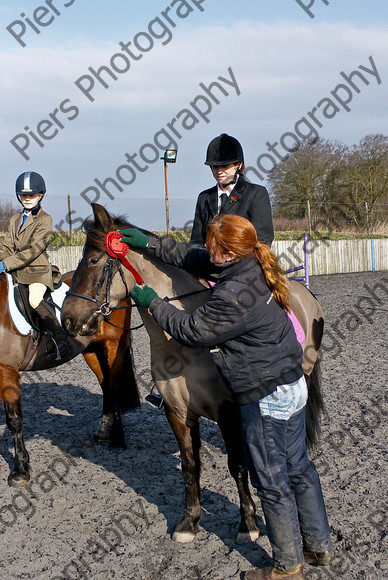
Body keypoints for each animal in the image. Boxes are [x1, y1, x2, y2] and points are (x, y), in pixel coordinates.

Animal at [0, 270, 139, 488]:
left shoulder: (7, 370)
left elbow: (14, 420)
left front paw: (20, 470)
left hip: (112, 345)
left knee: (114, 386)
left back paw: (117, 439)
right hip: (92, 349)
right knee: (106, 385)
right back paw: (104, 431)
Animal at [62, 204, 324, 544]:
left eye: (94, 260)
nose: (67, 319)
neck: (182, 346)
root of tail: (302, 291)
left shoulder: (228, 412)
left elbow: (236, 465)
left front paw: (247, 525)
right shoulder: (177, 411)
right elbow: (190, 465)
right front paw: (189, 522)